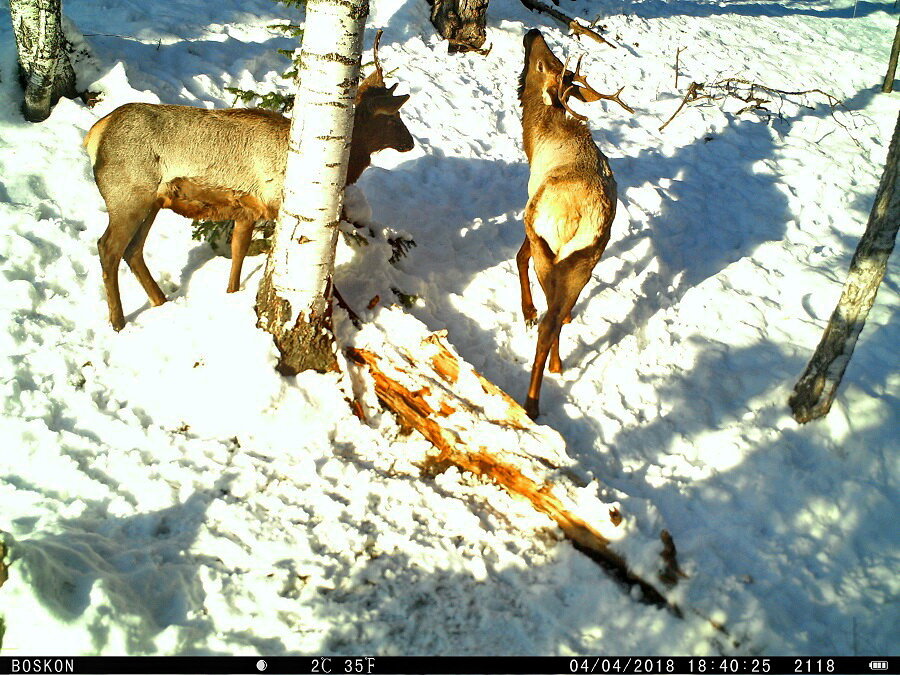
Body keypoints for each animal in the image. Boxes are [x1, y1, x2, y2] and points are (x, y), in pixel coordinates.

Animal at [82, 31, 414, 332]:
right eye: (392, 117)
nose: (410, 142)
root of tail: (95, 133)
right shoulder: (275, 207)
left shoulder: (247, 210)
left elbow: (237, 254)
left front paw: (231, 293)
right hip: (127, 196)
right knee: (107, 248)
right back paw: (118, 321)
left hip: (152, 202)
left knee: (133, 250)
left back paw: (159, 301)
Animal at [512, 31, 632, 420]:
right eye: (551, 57)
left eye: (541, 64)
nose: (532, 32)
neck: (536, 139)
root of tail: (579, 218)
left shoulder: (529, 210)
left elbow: (518, 258)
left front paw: (527, 312)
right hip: (587, 257)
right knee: (562, 310)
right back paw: (557, 364)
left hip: (549, 246)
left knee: (549, 317)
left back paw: (532, 402)